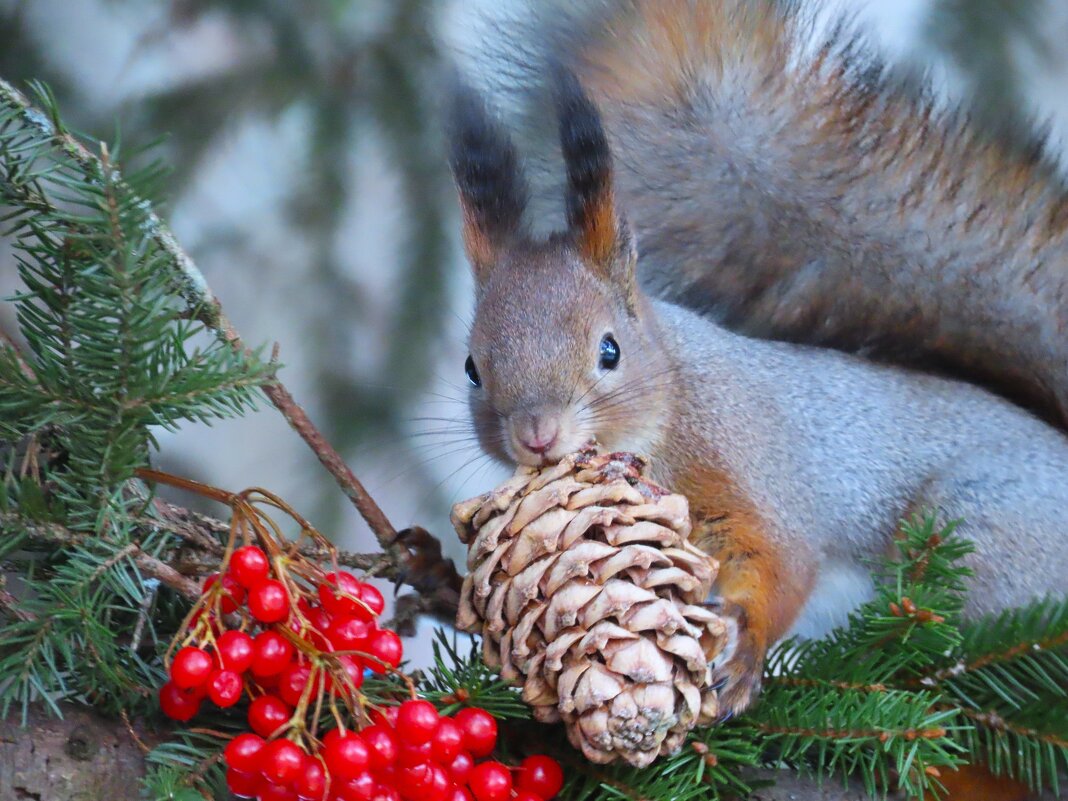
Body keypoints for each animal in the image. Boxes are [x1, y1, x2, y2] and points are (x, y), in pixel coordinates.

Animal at [444, 61, 1068, 721]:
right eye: (472, 368)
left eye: (609, 350)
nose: (537, 435)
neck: (672, 401)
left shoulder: (745, 460)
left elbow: (779, 559)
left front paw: (743, 653)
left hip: (976, 521)